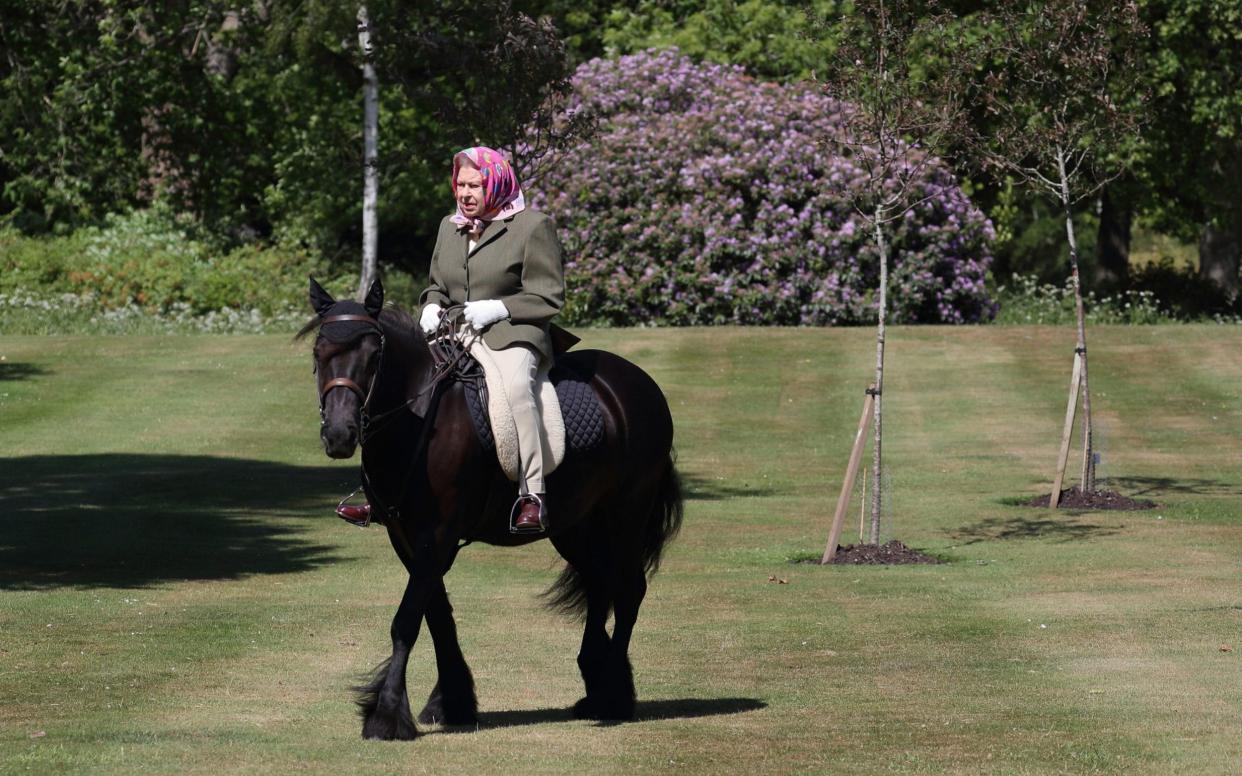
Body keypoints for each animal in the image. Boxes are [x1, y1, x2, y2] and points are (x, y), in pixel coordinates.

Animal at [304, 278, 685, 739]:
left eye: (374, 356)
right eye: (318, 354)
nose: (340, 435)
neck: (420, 417)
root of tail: (638, 383)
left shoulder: (438, 535)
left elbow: (407, 620)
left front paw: (387, 714)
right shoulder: (407, 538)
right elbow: (437, 616)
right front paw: (451, 702)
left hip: (626, 513)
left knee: (628, 590)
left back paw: (613, 695)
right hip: (574, 524)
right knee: (600, 583)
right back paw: (596, 686)